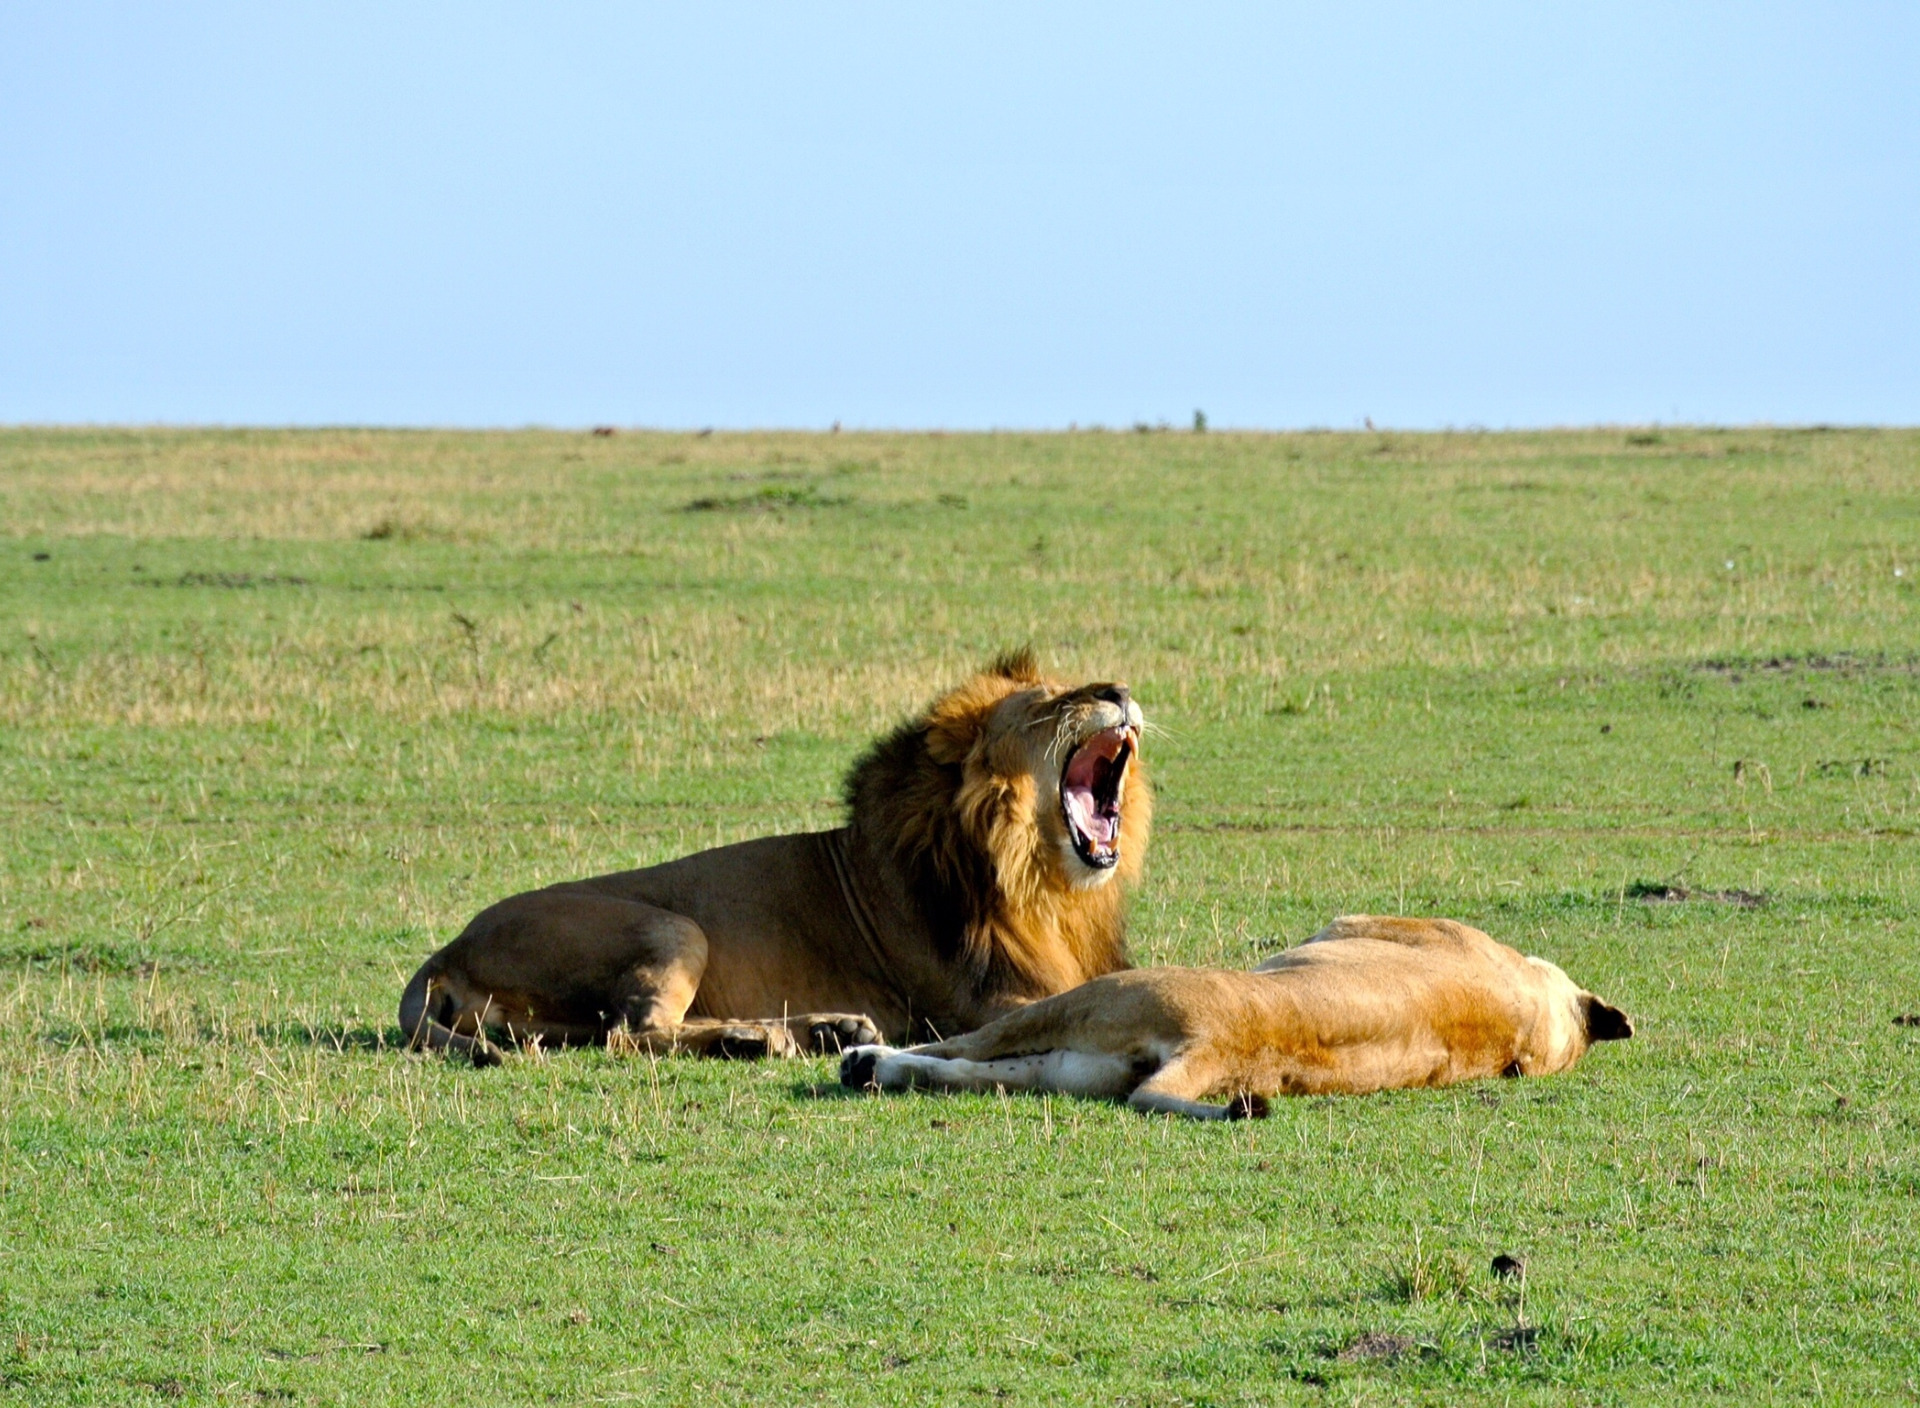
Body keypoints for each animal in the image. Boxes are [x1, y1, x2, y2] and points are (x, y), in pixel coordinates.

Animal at [399, 653, 1144, 1060]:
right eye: (1046, 705)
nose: (1121, 691)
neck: (1044, 885)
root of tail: (448, 950)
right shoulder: (979, 1000)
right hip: (671, 927)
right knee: (631, 1032)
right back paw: (761, 1039)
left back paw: (815, 1030)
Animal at [840, 910, 1635, 1121]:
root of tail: (1222, 1042)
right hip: (1067, 1067)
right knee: (960, 1071)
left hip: (1085, 1004)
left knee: (956, 1049)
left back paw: (860, 1061)